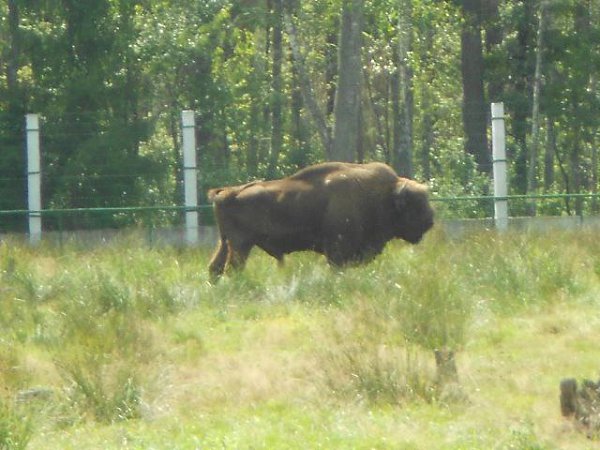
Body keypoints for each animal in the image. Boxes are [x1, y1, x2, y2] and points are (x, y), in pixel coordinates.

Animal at [207, 161, 434, 280]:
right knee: (232, 269)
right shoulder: (337, 250)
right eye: (417, 203)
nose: (430, 220)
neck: (383, 195)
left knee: (215, 268)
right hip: (241, 244)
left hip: (225, 242)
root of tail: (228, 192)